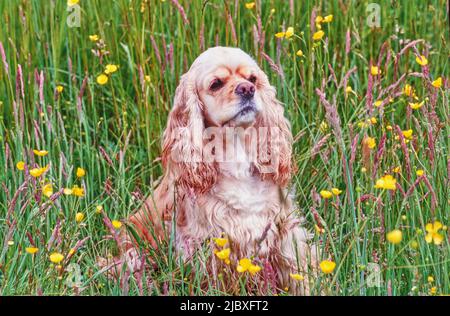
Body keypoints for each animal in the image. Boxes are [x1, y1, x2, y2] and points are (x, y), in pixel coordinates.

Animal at [110, 47, 318, 296]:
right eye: (216, 84)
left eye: (253, 79)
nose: (247, 89)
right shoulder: (210, 243)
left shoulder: (284, 231)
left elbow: (298, 272)